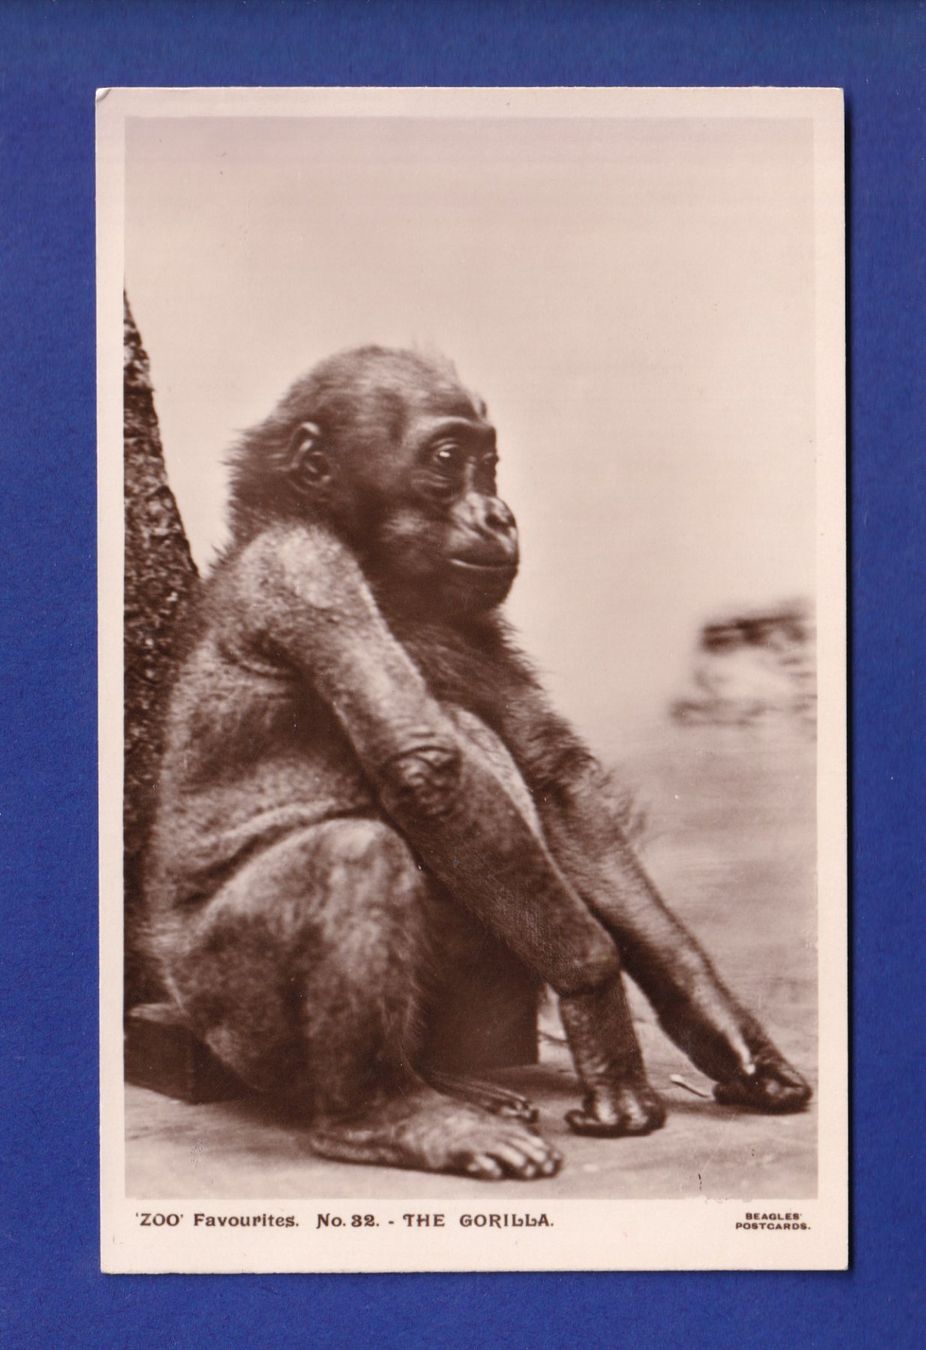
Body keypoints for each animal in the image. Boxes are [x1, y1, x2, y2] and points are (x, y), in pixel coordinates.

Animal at [144, 346, 811, 1181]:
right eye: (446, 461)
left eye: (488, 466)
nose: (497, 513)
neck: (378, 571)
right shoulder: (306, 570)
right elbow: (429, 769)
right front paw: (601, 1016)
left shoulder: (471, 623)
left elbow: (555, 784)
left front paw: (723, 1029)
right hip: (222, 1010)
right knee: (354, 855)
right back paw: (386, 1115)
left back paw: (444, 1080)